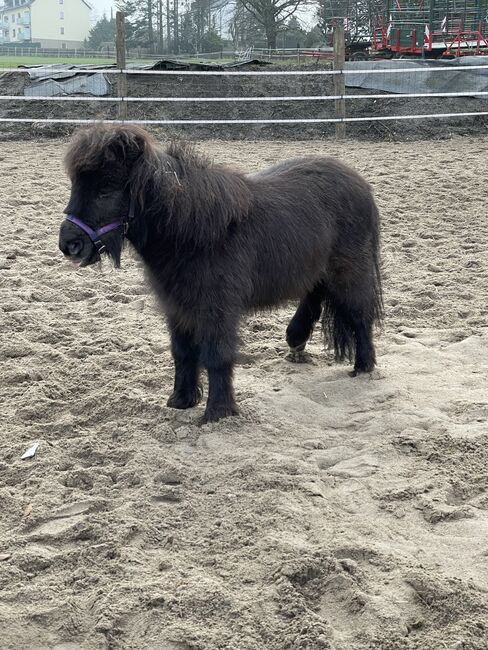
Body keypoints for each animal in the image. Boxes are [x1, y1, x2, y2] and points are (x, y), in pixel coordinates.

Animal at [59, 125, 384, 420]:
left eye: (105, 189)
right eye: (75, 185)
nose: (69, 245)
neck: (192, 230)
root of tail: (361, 185)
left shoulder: (217, 309)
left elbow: (217, 355)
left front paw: (218, 412)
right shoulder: (177, 307)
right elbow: (182, 352)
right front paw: (181, 400)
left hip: (349, 272)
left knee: (359, 314)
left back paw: (363, 367)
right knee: (314, 299)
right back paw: (296, 341)